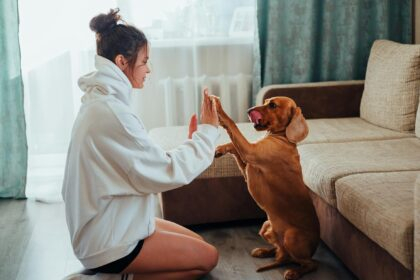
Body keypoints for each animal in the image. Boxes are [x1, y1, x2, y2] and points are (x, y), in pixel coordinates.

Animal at [212, 95, 320, 278]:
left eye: (273, 105)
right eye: (265, 101)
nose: (249, 110)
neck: (283, 137)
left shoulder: (250, 152)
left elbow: (233, 125)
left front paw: (219, 110)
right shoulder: (247, 166)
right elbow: (234, 146)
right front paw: (220, 149)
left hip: (291, 236)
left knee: (310, 264)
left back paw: (294, 272)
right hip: (266, 226)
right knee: (280, 250)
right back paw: (264, 251)